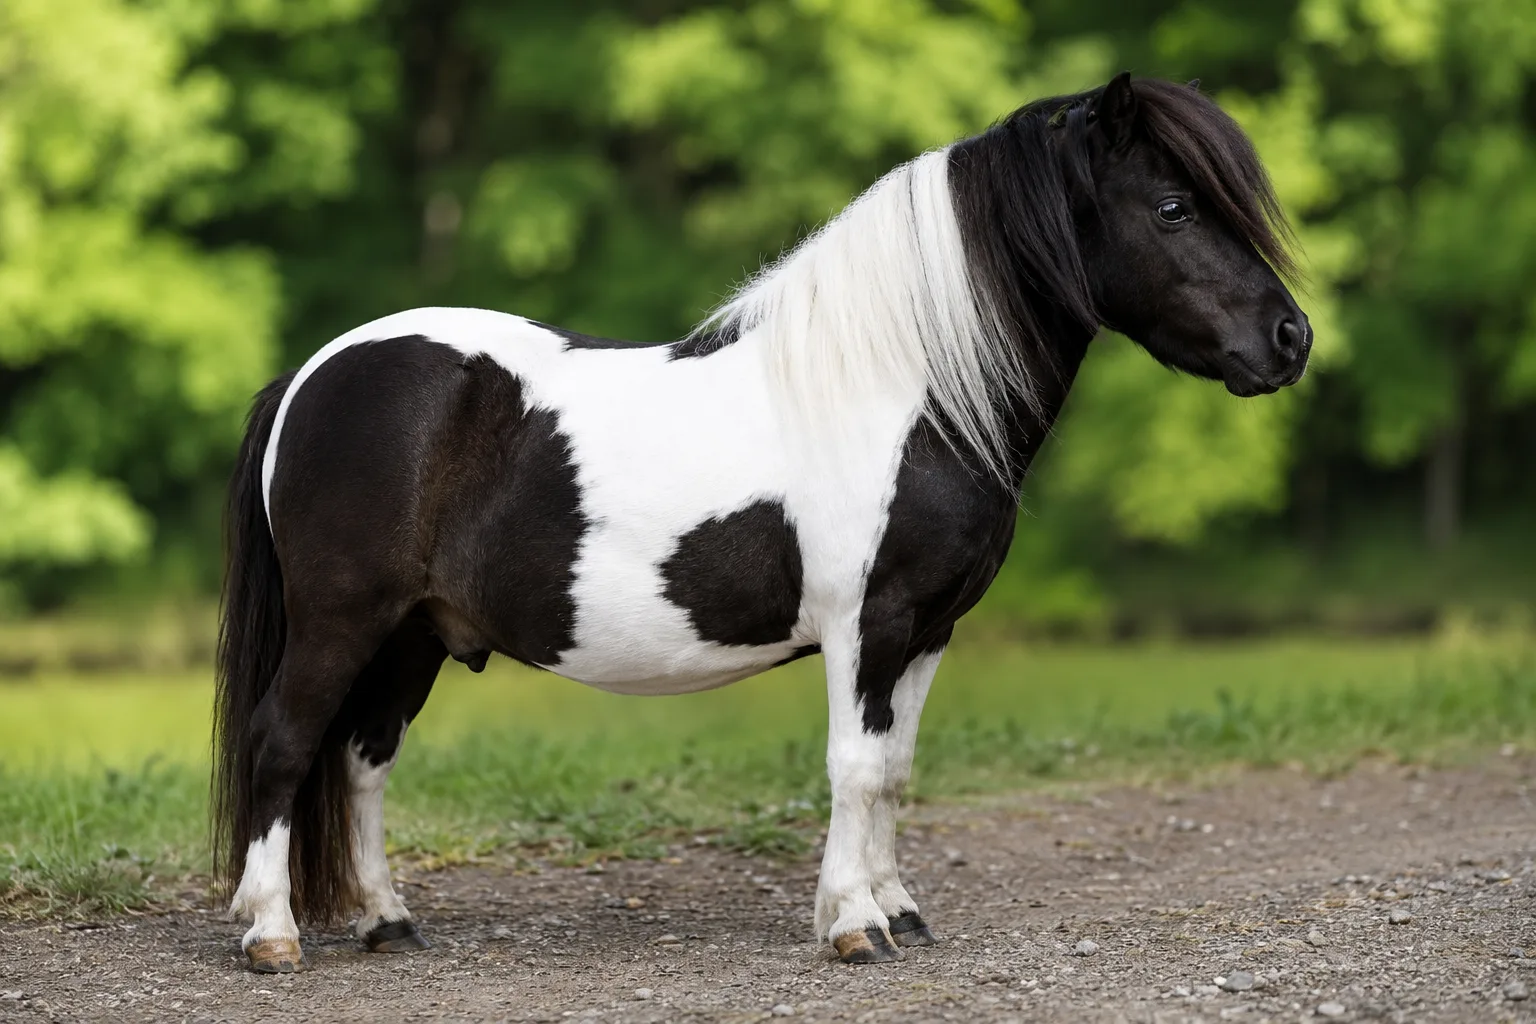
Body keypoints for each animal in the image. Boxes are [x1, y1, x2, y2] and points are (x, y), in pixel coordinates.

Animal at [213, 72, 1310, 973]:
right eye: (1173, 207)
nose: (1290, 339)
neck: (903, 392)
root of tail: (313, 371)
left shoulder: (928, 631)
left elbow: (894, 772)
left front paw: (897, 909)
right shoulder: (867, 625)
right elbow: (854, 767)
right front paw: (853, 926)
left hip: (413, 634)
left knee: (361, 758)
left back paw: (388, 921)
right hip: (342, 619)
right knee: (283, 741)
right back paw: (272, 934)